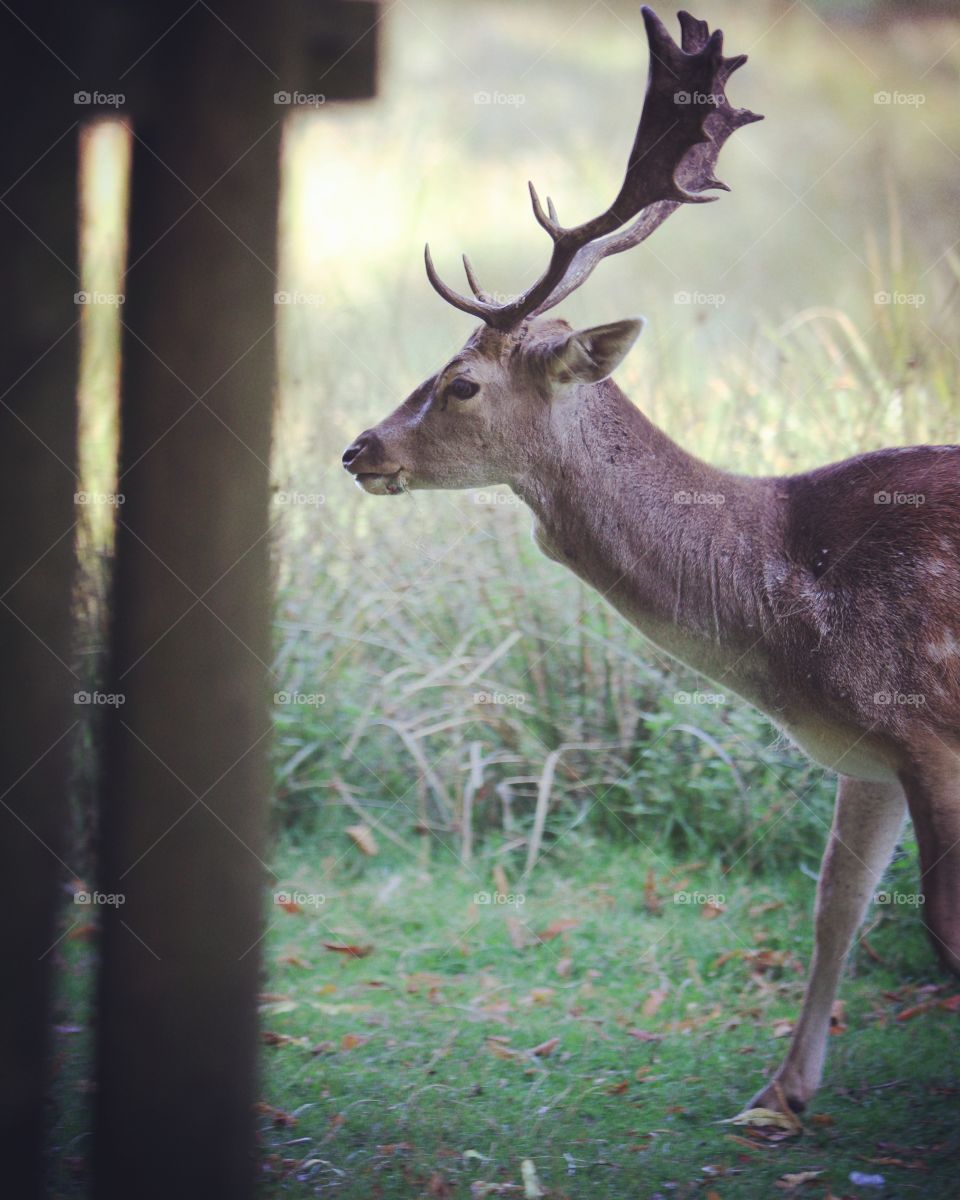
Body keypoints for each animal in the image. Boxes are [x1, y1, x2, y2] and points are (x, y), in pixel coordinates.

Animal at [341, 6, 960, 1117]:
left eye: (460, 384)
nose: (358, 448)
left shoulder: (931, 725)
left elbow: (936, 922)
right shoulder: (875, 754)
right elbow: (835, 906)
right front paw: (776, 1099)